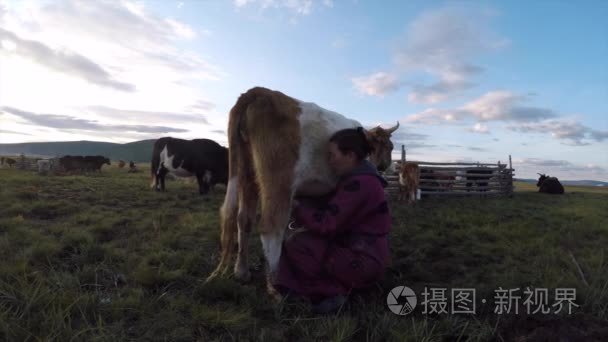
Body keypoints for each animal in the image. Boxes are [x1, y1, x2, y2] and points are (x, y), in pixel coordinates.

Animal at [207, 87, 400, 296]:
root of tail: (261, 92)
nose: (386, 165)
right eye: (390, 147)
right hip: (279, 180)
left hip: (247, 176)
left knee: (244, 219)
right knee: (271, 228)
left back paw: (242, 272)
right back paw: (275, 287)